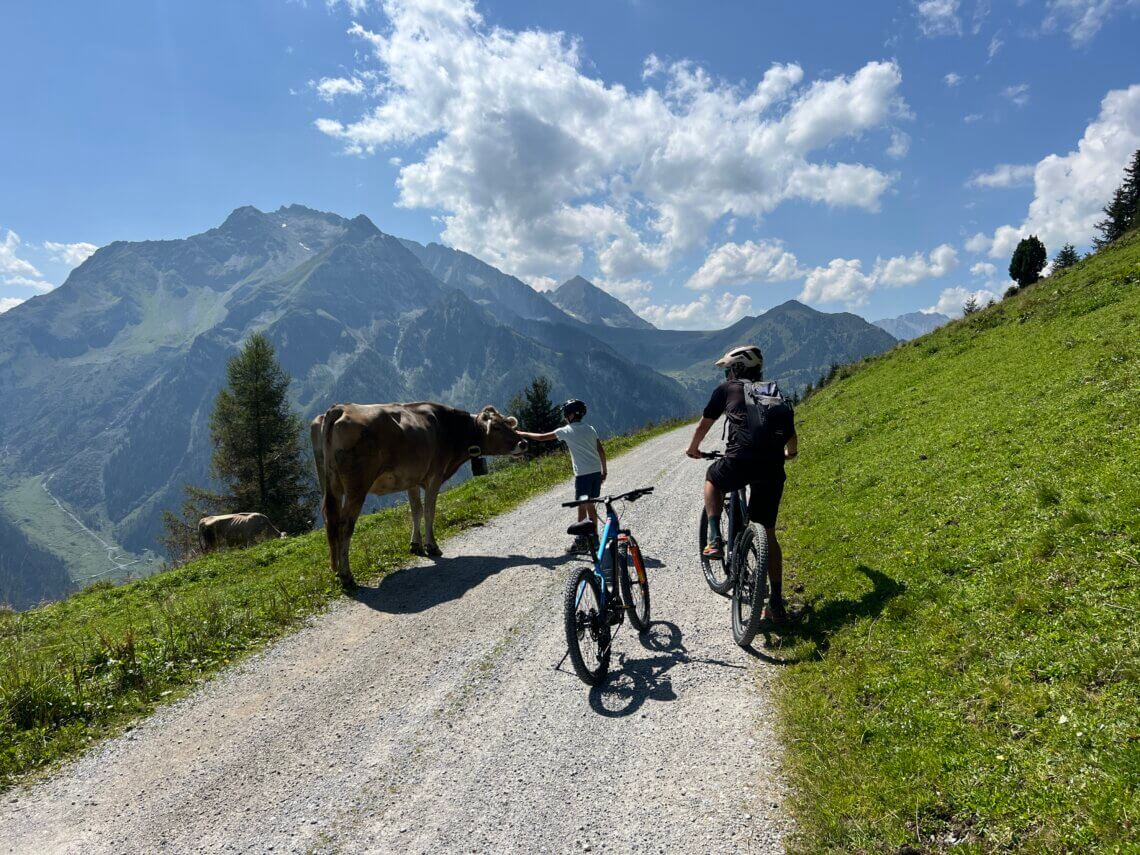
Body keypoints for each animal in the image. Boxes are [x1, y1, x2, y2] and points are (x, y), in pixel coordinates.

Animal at [312, 403, 524, 588]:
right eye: (496, 426)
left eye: (508, 423)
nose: (523, 443)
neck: (448, 428)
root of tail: (341, 408)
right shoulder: (435, 475)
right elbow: (430, 510)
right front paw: (432, 546)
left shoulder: (411, 480)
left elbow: (416, 510)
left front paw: (416, 545)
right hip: (357, 486)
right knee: (344, 526)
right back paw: (347, 576)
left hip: (330, 486)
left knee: (330, 524)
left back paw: (337, 571)